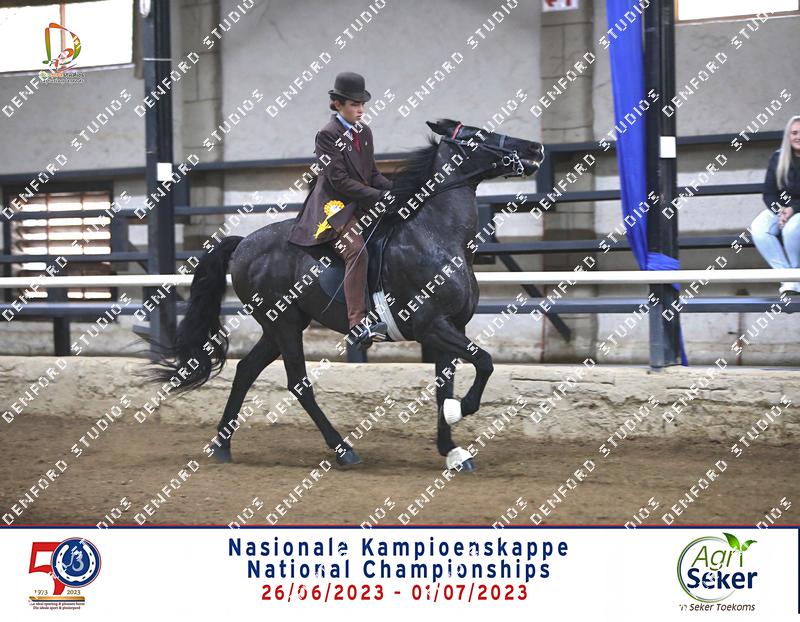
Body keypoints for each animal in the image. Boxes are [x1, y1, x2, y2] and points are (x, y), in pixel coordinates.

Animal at [146, 118, 544, 471]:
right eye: (477, 136)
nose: (535, 149)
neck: (438, 237)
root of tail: (244, 243)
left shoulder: (452, 328)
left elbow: (443, 386)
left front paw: (452, 450)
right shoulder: (432, 326)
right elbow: (485, 363)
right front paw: (460, 412)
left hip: (280, 326)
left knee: (246, 370)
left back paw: (222, 446)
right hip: (285, 324)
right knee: (298, 384)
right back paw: (343, 451)